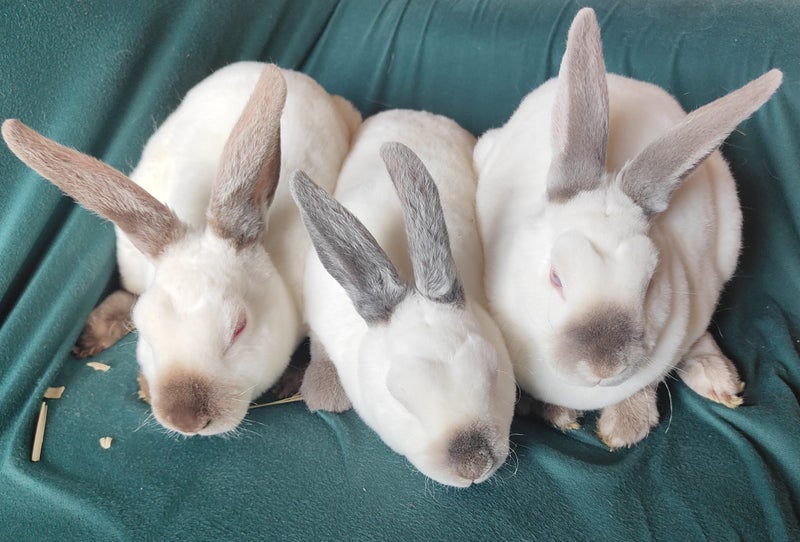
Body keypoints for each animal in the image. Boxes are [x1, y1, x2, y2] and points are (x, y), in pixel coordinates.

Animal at [473, 8, 782, 449]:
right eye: (556, 278)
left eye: (650, 283)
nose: (604, 367)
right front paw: (559, 414)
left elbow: (651, 378)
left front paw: (624, 427)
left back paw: (717, 378)